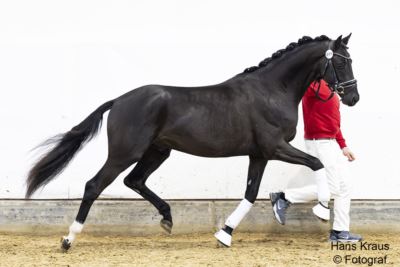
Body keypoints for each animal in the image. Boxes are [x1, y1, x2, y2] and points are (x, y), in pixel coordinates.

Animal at [27, 34, 360, 251]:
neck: (272, 90)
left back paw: (167, 219)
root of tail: (119, 100)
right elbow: (316, 163)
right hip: (125, 152)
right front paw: (321, 211)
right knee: (94, 185)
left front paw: (225, 234)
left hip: (158, 151)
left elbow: (251, 194)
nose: (353, 98)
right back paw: (68, 239)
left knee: (134, 181)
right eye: (342, 62)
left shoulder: (259, 154)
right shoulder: (275, 147)